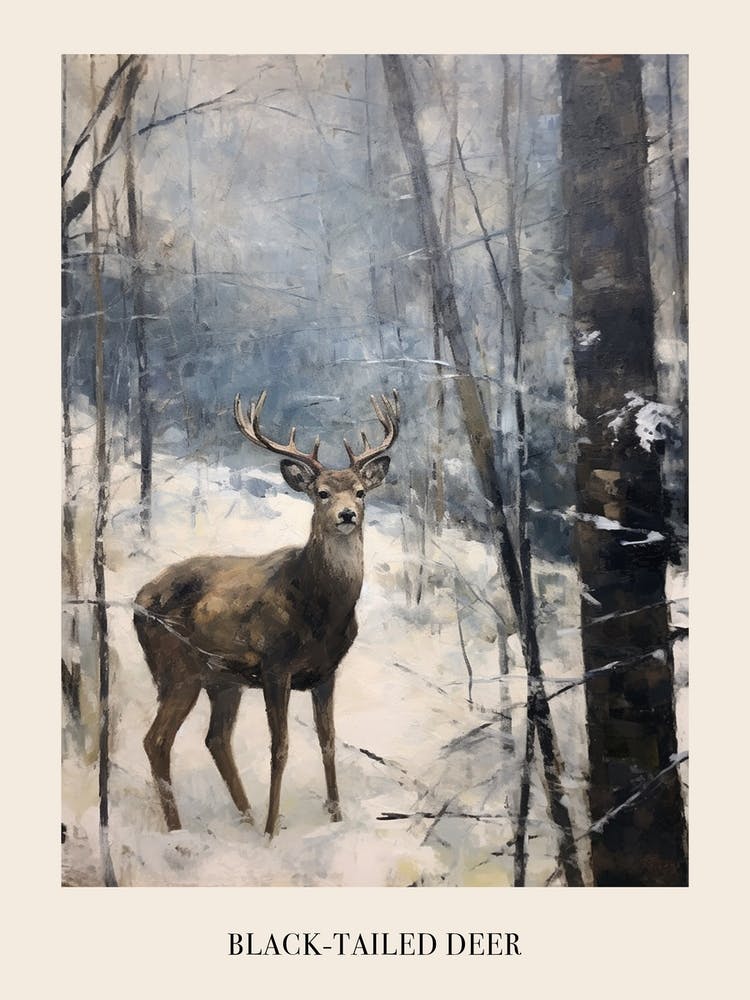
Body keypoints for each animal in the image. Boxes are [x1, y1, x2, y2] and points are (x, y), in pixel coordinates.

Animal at [133, 389, 399, 838]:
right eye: (321, 492)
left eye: (361, 491)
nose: (347, 514)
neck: (320, 611)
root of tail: (137, 600)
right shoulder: (276, 666)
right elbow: (281, 747)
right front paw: (274, 832)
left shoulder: (326, 671)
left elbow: (328, 742)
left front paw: (336, 818)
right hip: (176, 667)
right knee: (157, 741)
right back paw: (181, 833)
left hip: (223, 680)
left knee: (216, 739)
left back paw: (245, 817)